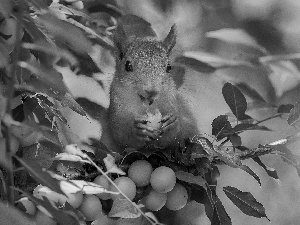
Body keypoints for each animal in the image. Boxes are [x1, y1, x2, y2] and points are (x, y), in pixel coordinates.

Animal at [99, 15, 200, 153]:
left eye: (169, 67)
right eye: (127, 65)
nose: (151, 91)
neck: (148, 106)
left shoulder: (175, 104)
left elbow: (176, 135)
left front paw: (173, 125)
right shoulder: (116, 112)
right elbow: (121, 135)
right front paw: (136, 130)